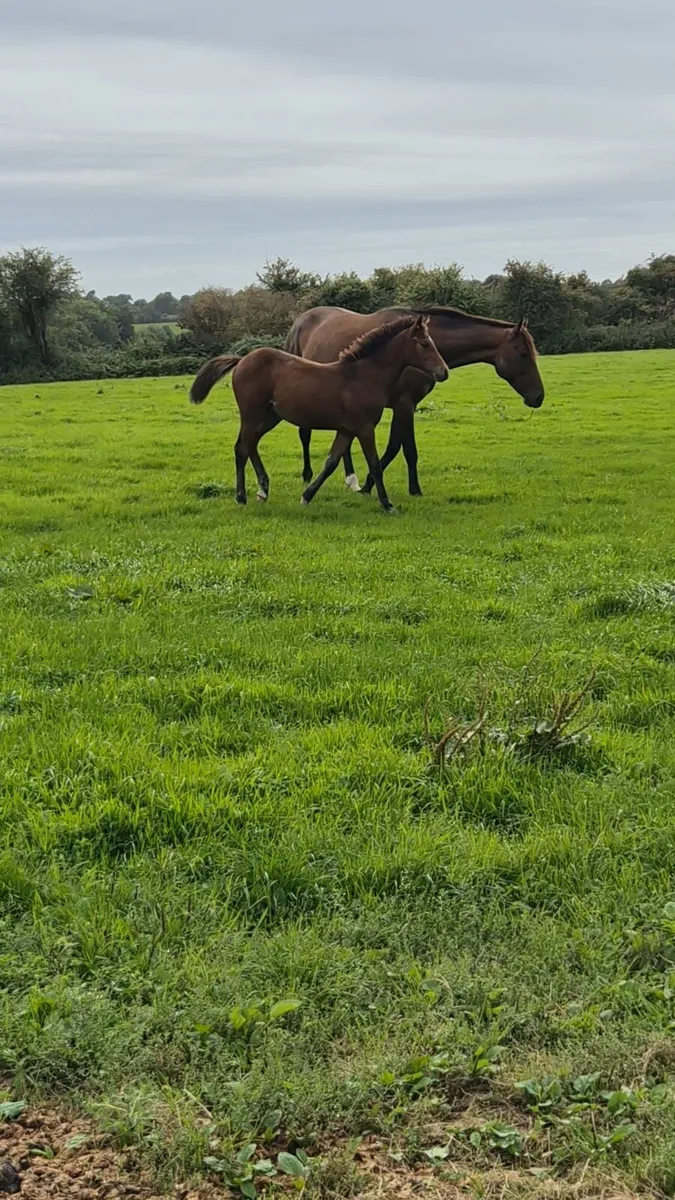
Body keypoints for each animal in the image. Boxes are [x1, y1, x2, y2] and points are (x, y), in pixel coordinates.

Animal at [189, 314, 448, 513]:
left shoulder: (346, 429)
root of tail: (242, 359)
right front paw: (387, 505)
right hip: (252, 414)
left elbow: (331, 462)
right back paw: (241, 497)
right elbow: (374, 465)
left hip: (270, 416)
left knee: (248, 445)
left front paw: (306, 496)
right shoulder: (365, 428)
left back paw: (262, 490)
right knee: (242, 448)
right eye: (425, 344)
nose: (443, 372)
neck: (365, 376)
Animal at [284, 305, 545, 496]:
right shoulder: (404, 404)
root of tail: (301, 320)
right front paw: (410, 489)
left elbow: (394, 446)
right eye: (523, 353)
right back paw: (308, 475)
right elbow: (406, 448)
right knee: (304, 434)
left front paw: (370, 484)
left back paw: (352, 480)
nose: (539, 396)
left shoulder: (406, 405)